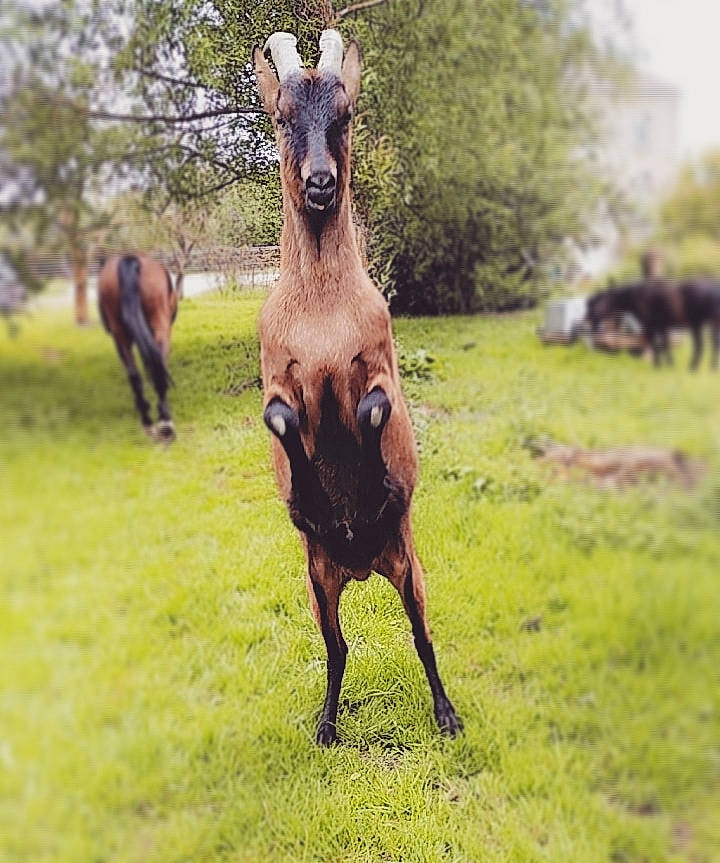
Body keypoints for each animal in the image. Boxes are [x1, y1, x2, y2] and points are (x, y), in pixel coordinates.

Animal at [98, 253, 179, 439]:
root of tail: (130, 259)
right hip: (159, 325)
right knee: (157, 366)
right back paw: (164, 422)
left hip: (120, 334)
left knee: (134, 374)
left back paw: (148, 421)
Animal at [252, 30, 460, 745]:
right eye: (282, 115)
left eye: (343, 115)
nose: (321, 183)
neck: (322, 314)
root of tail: (364, 569)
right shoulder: (276, 374)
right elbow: (281, 420)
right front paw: (316, 499)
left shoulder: (378, 360)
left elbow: (372, 408)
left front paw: (371, 492)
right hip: (317, 579)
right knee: (338, 647)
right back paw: (326, 727)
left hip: (409, 566)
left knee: (422, 635)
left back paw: (447, 717)